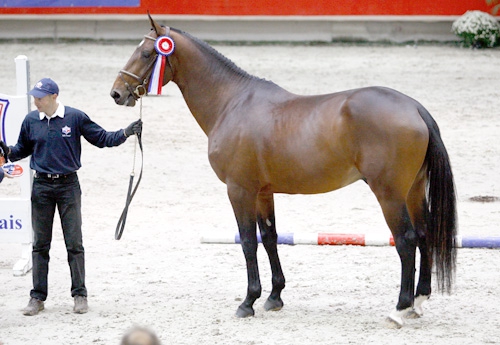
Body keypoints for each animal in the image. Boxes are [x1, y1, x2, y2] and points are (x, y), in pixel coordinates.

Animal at [110, 14, 458, 328]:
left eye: (147, 53)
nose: (117, 92)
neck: (231, 103)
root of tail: (414, 107)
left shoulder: (239, 190)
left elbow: (248, 242)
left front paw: (247, 301)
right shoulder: (263, 193)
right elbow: (269, 237)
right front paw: (274, 296)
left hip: (389, 195)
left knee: (406, 240)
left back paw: (399, 309)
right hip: (413, 191)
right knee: (425, 234)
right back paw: (419, 302)